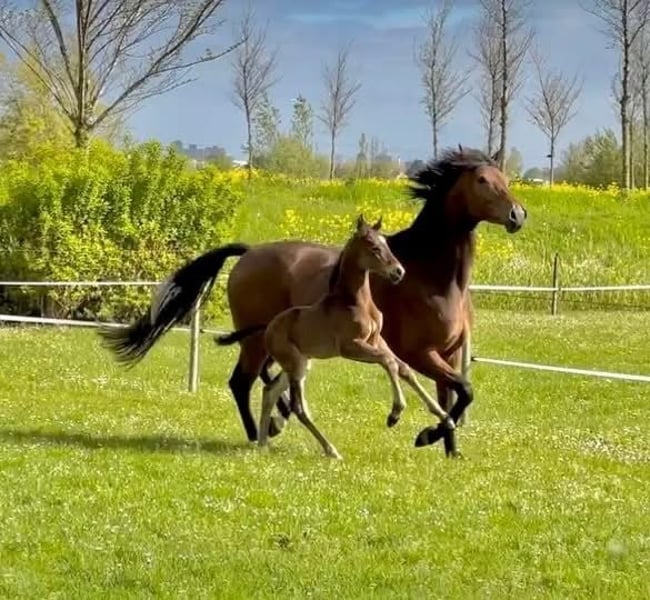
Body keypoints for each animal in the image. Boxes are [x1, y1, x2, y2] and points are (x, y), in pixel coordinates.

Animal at [215, 214, 456, 459]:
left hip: (301, 363)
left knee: (270, 391)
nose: (398, 272)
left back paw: (264, 443)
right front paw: (395, 414)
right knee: (297, 407)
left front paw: (445, 417)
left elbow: (403, 368)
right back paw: (329, 450)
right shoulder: (351, 347)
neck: (354, 301)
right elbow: (388, 362)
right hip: (295, 364)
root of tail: (268, 326)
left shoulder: (376, 340)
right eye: (374, 247)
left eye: (387, 244)